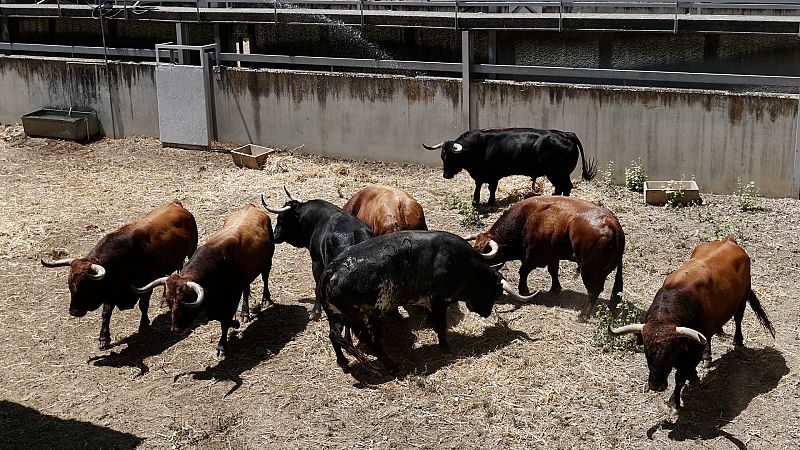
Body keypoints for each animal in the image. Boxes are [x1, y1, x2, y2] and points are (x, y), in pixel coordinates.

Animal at [40, 201, 198, 352]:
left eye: (86, 287)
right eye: (69, 285)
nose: (74, 311)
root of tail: (176, 204)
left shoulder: (144, 286)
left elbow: (143, 305)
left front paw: (143, 324)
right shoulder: (110, 292)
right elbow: (106, 313)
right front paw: (103, 338)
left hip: (191, 251)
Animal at [134, 205, 276, 358]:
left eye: (186, 301)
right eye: (168, 301)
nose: (177, 329)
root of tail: (252, 207)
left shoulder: (231, 299)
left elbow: (225, 322)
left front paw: (222, 345)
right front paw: (235, 323)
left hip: (267, 262)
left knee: (265, 278)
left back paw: (265, 299)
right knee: (246, 289)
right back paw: (245, 313)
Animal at [422, 128, 596, 206]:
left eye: (452, 157)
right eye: (442, 157)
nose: (446, 175)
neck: (478, 147)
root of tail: (567, 134)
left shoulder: (493, 175)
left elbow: (491, 188)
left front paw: (490, 202)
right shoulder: (479, 174)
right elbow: (478, 186)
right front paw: (475, 201)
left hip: (557, 173)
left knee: (565, 187)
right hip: (558, 174)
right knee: (561, 187)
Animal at [468, 197, 624, 320]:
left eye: (484, 254)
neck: (526, 219)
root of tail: (611, 223)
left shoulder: (532, 257)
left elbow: (523, 272)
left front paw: (523, 290)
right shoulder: (553, 255)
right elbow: (553, 271)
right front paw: (555, 288)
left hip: (588, 270)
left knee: (593, 291)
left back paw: (582, 316)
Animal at [612, 237, 776, 414]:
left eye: (670, 351)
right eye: (646, 351)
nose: (656, 385)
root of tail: (729, 240)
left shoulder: (691, 354)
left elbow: (679, 378)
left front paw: (674, 402)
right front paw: (694, 375)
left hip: (742, 299)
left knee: (738, 319)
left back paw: (737, 342)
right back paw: (708, 356)